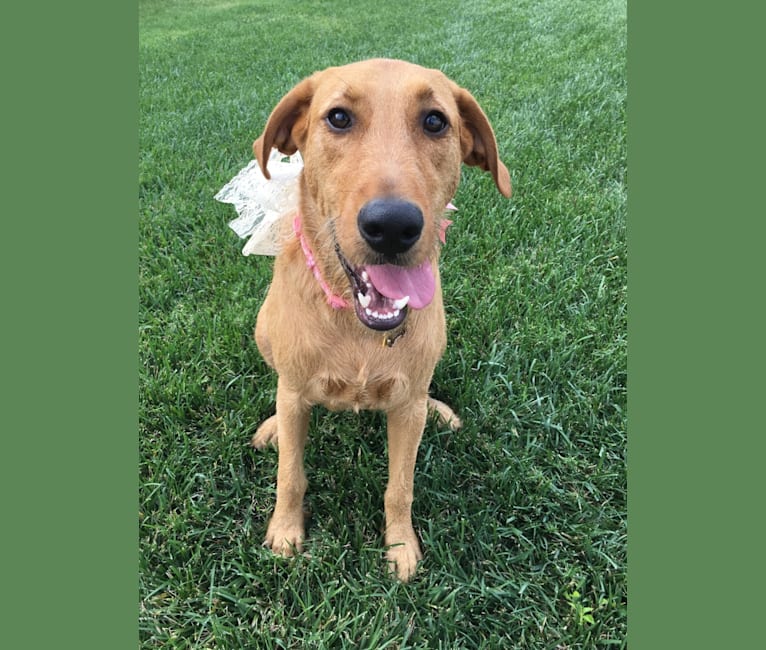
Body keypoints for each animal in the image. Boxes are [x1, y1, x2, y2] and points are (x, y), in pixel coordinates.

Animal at [252, 59, 512, 576]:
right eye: (337, 117)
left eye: (435, 121)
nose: (392, 225)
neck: (356, 327)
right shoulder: (295, 395)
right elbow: (291, 473)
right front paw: (286, 531)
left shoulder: (405, 410)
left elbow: (400, 488)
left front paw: (400, 547)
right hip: (263, 329)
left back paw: (438, 409)